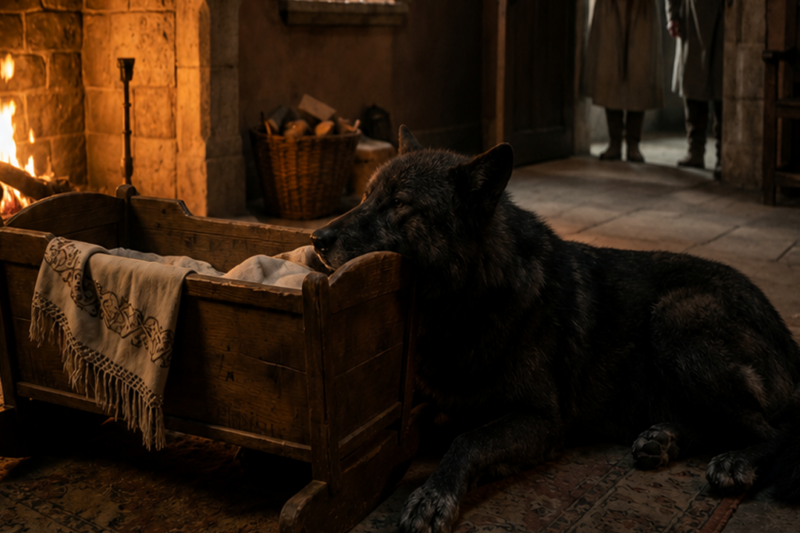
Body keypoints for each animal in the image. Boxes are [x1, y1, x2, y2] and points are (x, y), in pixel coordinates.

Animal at [311, 127, 800, 533]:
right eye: (366, 196)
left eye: (399, 204)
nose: (316, 239)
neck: (473, 299)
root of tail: (785, 332)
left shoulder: (543, 420)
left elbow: (468, 440)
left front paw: (434, 495)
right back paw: (664, 439)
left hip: (674, 320)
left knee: (772, 430)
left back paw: (735, 461)